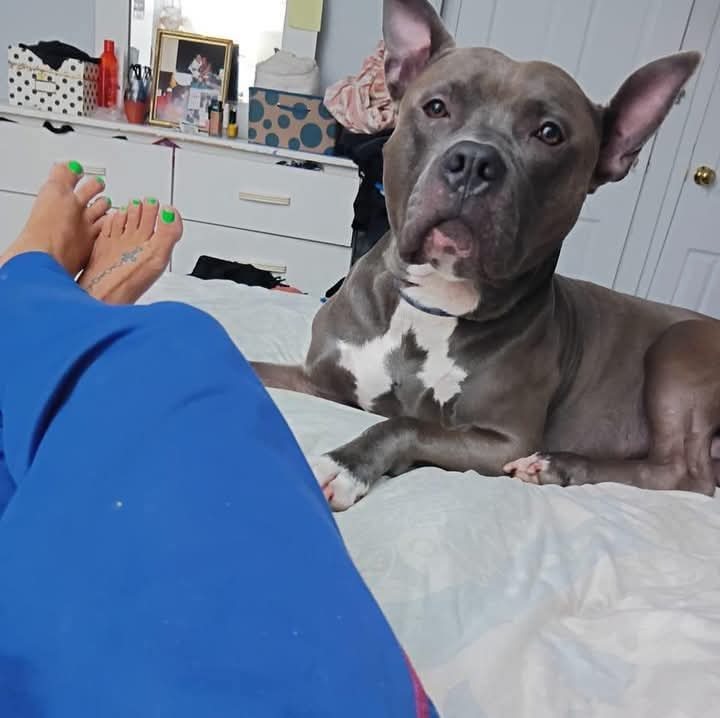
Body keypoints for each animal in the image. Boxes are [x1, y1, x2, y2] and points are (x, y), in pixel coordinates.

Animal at [253, 0, 715, 511]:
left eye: (549, 133)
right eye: (436, 107)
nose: (474, 161)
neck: (434, 304)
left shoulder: (502, 441)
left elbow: (405, 423)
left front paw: (345, 463)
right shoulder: (319, 380)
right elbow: (254, 366)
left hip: (680, 348)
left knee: (685, 473)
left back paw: (558, 464)